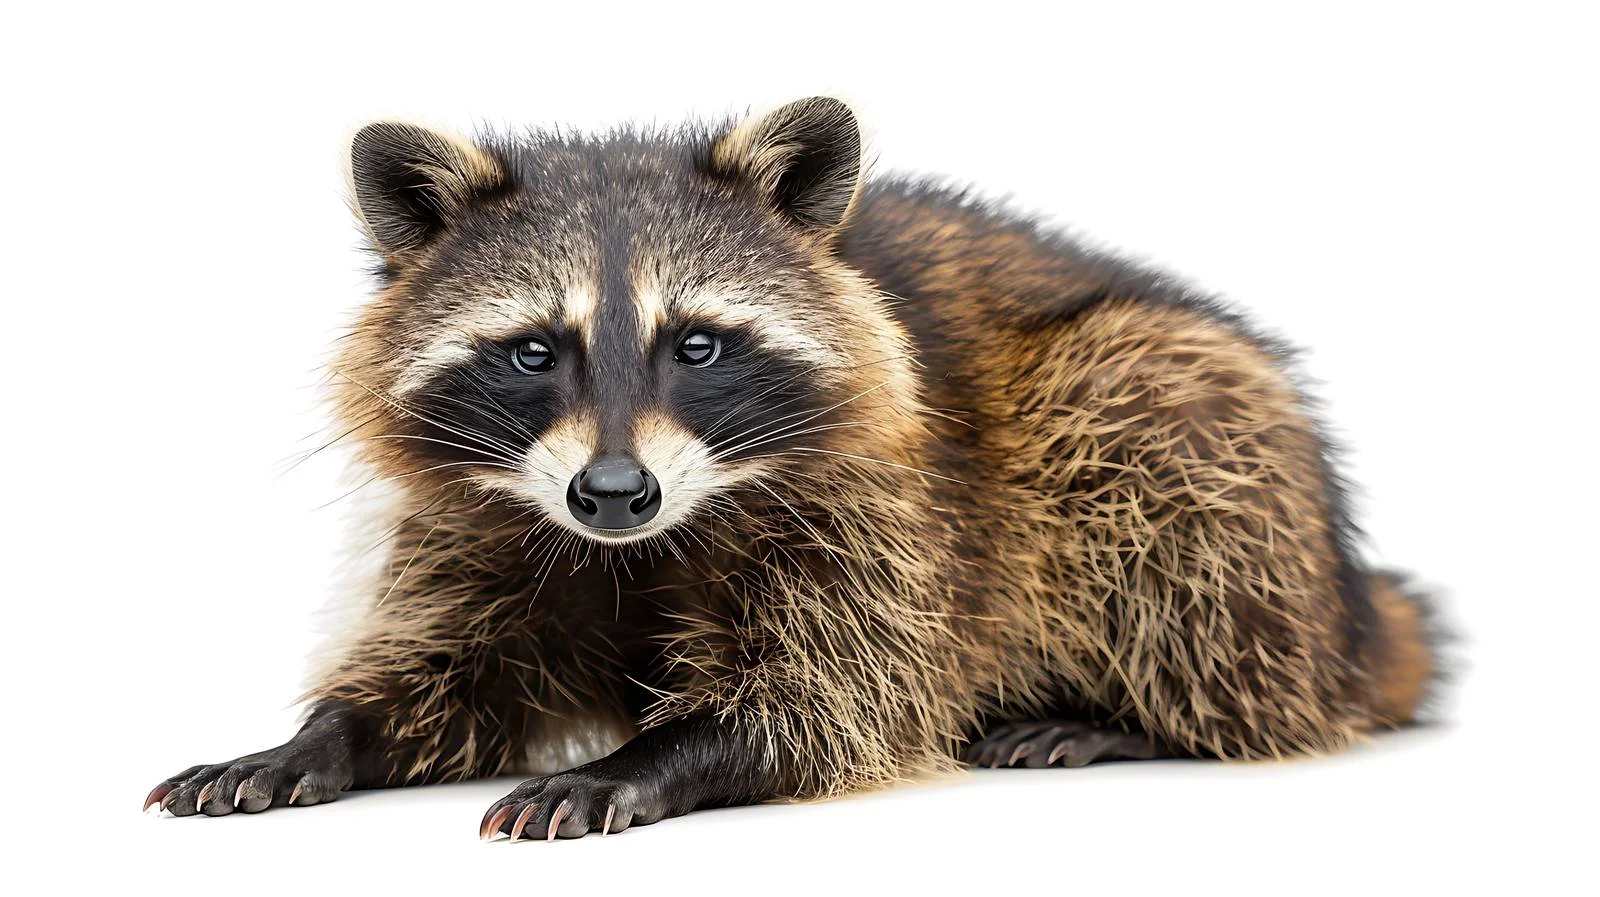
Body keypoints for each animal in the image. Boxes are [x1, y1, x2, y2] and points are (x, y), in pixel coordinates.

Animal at [145, 97, 1441, 840]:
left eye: (698, 345)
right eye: (531, 351)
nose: (611, 494)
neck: (647, 536)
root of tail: (1350, 611)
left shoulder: (883, 508)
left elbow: (832, 693)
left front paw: (649, 758)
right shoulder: (479, 514)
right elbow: (449, 670)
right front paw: (317, 737)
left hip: (1183, 415)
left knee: (1172, 477)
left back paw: (1132, 718)